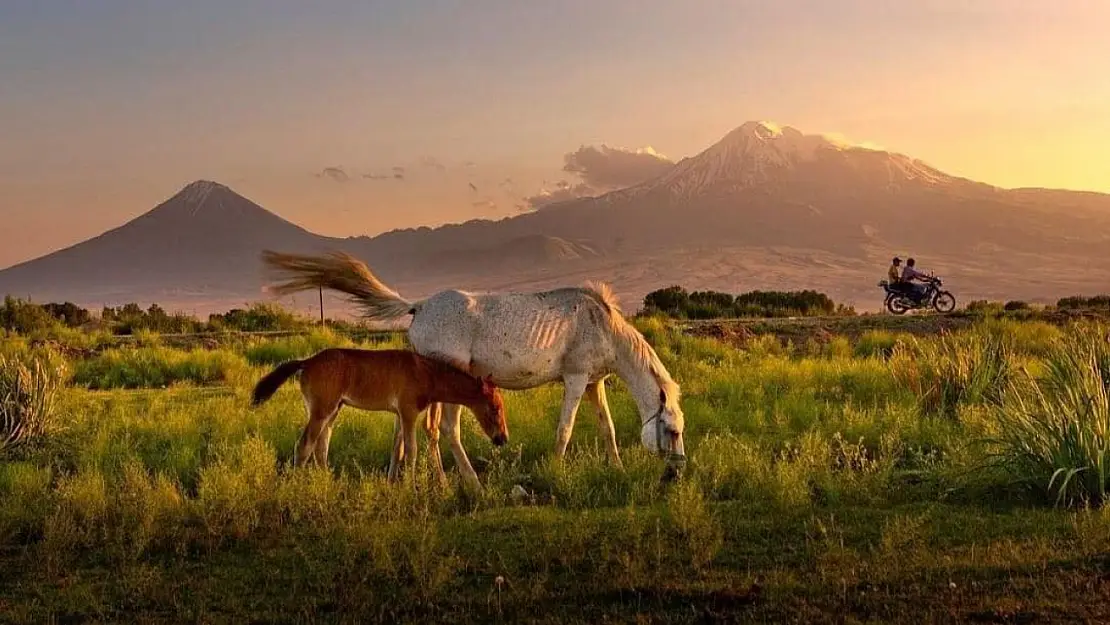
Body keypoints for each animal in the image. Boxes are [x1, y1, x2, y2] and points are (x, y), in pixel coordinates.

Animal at [249, 350, 506, 481]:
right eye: (495, 408)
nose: (502, 439)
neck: (425, 372)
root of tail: (307, 361)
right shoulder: (408, 412)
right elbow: (411, 451)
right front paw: (410, 489)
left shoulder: (401, 414)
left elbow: (397, 449)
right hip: (321, 411)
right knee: (304, 446)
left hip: (332, 410)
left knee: (321, 447)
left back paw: (326, 484)